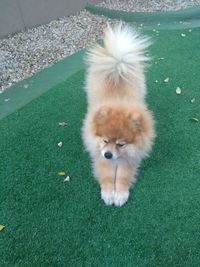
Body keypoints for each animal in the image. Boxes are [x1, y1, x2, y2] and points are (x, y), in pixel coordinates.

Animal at [82, 23, 155, 207]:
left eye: (121, 144)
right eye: (104, 140)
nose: (108, 154)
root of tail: (117, 63)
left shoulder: (131, 157)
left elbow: (123, 175)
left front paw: (120, 193)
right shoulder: (99, 155)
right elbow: (107, 175)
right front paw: (109, 193)